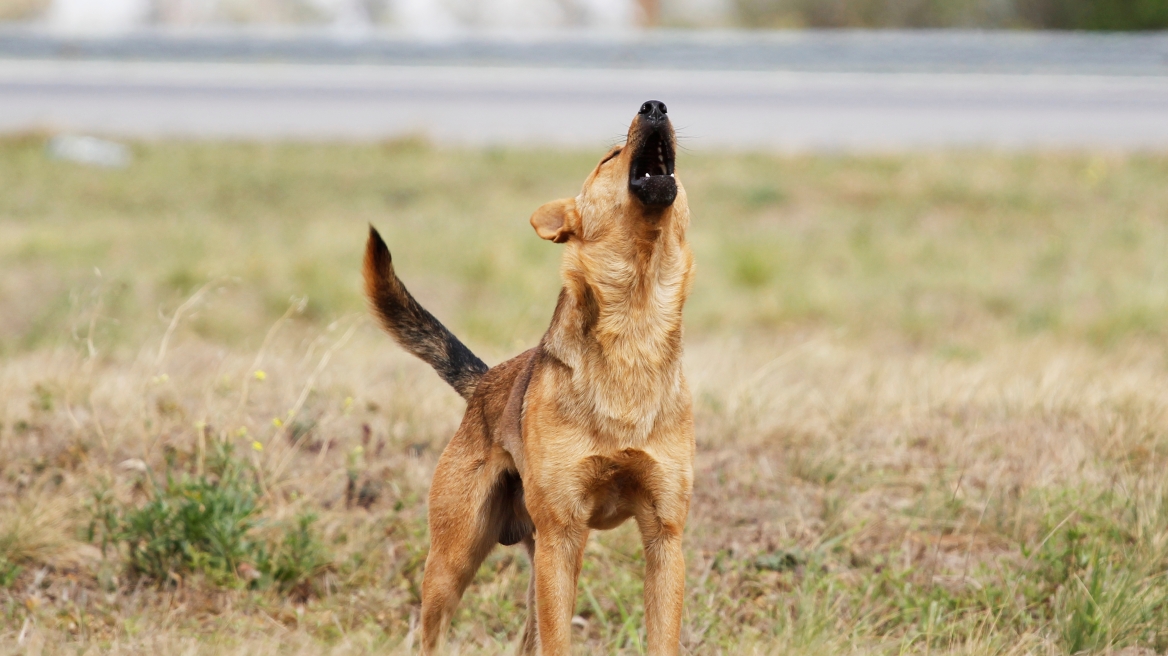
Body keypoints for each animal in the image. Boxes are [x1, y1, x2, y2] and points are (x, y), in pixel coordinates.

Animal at [362, 99, 691, 648]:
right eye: (609, 157)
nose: (655, 105)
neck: (634, 329)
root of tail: (484, 382)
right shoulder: (563, 532)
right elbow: (559, 644)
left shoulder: (664, 535)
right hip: (455, 560)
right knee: (433, 634)